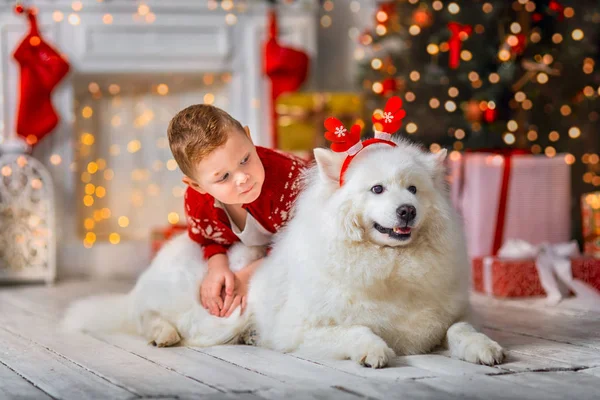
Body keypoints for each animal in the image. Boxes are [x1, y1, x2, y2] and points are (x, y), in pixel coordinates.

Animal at [63, 139, 504, 368]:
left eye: (413, 189)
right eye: (377, 189)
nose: (407, 211)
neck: (390, 269)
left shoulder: (446, 317)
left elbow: (461, 328)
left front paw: (485, 349)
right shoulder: (300, 329)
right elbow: (358, 330)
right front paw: (374, 350)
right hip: (192, 305)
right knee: (146, 315)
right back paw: (163, 333)